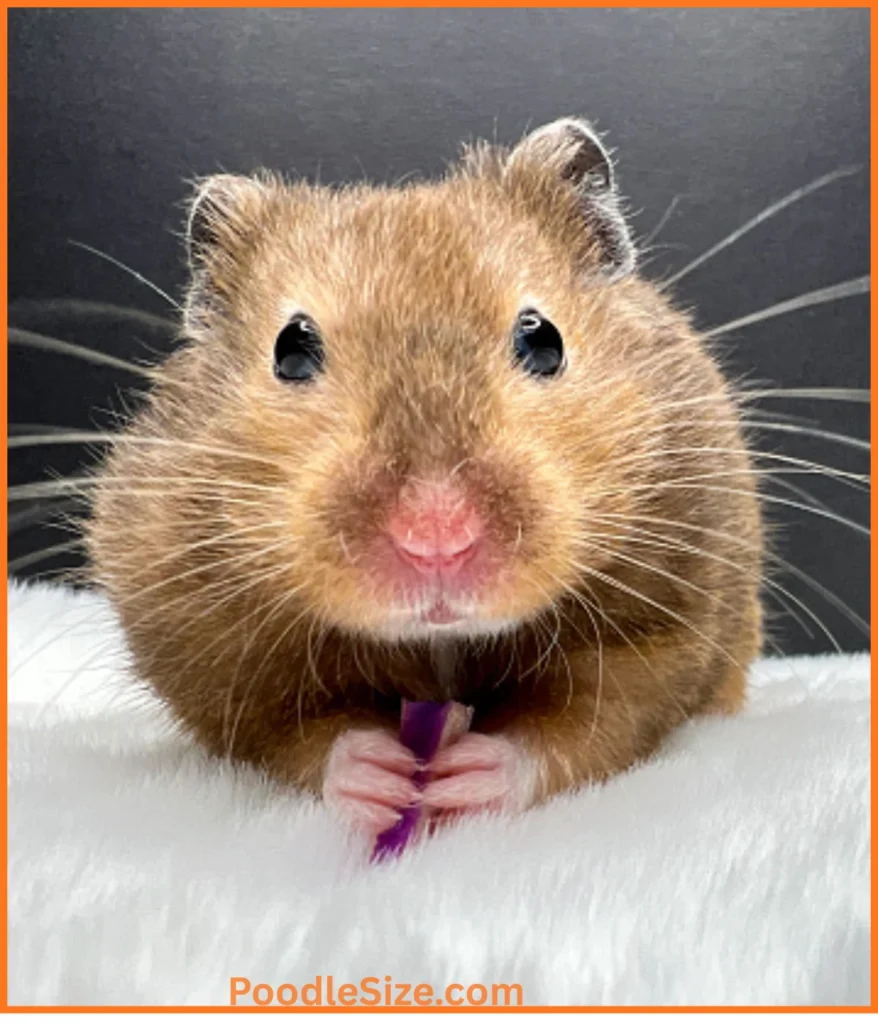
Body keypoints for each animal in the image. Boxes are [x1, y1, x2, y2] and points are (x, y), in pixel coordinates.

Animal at [86, 118, 762, 837]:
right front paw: (382, 775)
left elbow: (585, 721)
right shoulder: (212, 657)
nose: (435, 536)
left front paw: (465, 778)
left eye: (543, 340)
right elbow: (297, 733)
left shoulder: (665, 627)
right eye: (290, 350)